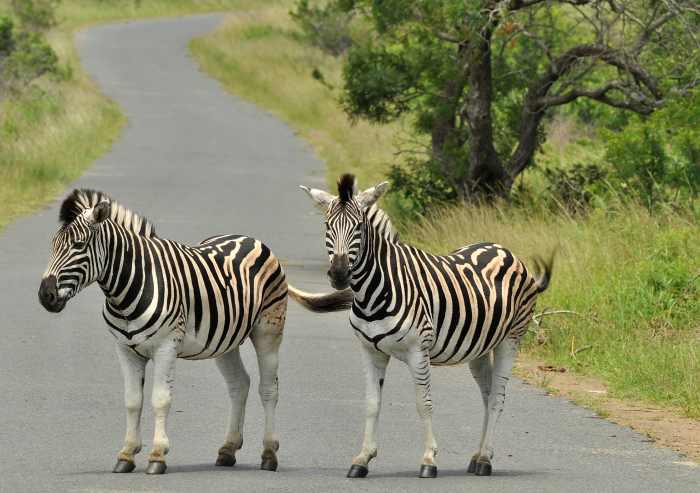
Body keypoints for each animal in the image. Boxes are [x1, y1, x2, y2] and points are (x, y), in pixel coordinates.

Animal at [38, 189, 351, 475]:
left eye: (79, 245)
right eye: (52, 245)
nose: (45, 296)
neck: (126, 290)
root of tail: (251, 238)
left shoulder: (166, 346)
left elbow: (160, 400)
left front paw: (157, 455)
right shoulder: (125, 350)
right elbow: (132, 401)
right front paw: (126, 454)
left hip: (268, 331)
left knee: (268, 388)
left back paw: (268, 454)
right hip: (225, 340)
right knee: (239, 384)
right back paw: (228, 449)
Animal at [295, 174, 553, 479]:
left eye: (358, 226)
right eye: (328, 226)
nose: (338, 274)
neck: (373, 292)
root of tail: (504, 250)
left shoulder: (419, 351)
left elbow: (424, 403)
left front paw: (429, 460)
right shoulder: (370, 351)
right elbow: (371, 403)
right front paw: (362, 458)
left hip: (511, 339)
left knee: (497, 398)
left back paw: (484, 461)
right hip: (479, 347)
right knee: (488, 394)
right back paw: (479, 455)